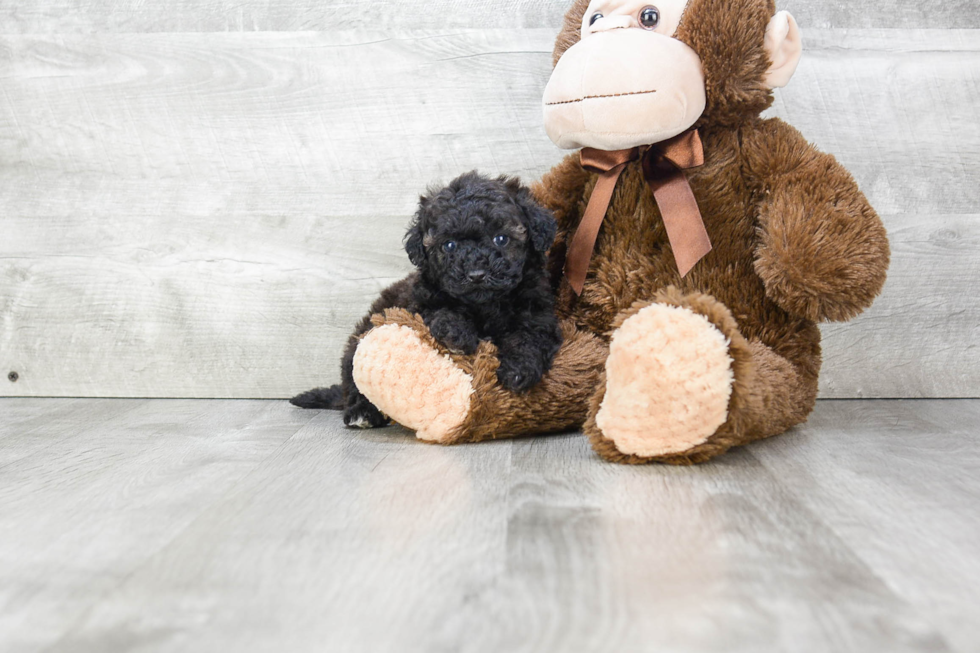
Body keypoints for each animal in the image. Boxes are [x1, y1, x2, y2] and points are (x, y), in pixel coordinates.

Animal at [290, 172, 560, 428]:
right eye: (449, 245)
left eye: (501, 239)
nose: (476, 274)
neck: (485, 306)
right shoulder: (419, 303)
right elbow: (441, 311)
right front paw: (457, 334)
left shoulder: (538, 313)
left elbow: (528, 337)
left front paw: (517, 369)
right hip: (356, 349)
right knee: (357, 386)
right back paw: (362, 413)